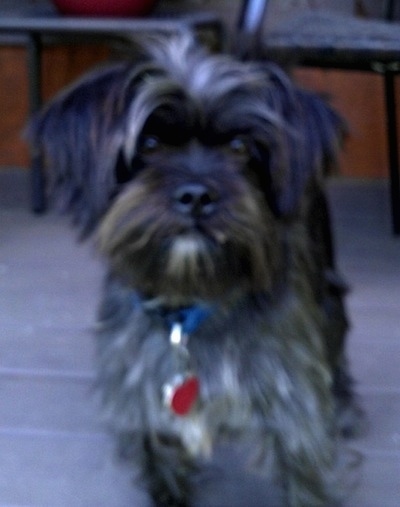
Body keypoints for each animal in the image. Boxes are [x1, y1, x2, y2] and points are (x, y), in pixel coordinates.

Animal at [29, 33, 364, 506]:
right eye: (149, 144)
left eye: (240, 147)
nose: (196, 195)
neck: (190, 303)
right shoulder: (141, 394)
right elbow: (161, 461)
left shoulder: (293, 405)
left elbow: (308, 479)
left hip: (328, 295)